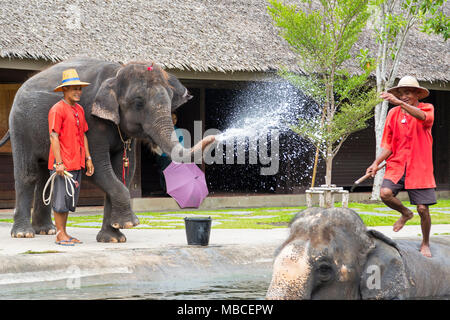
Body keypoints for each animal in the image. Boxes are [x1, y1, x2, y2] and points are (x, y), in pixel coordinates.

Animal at [0, 57, 213, 242]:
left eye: (170, 101)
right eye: (138, 102)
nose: (213, 138)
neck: (116, 73)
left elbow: (123, 171)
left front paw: (114, 238)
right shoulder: (91, 120)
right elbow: (98, 168)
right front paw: (130, 223)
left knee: (46, 174)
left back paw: (46, 230)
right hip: (20, 125)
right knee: (28, 174)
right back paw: (24, 234)